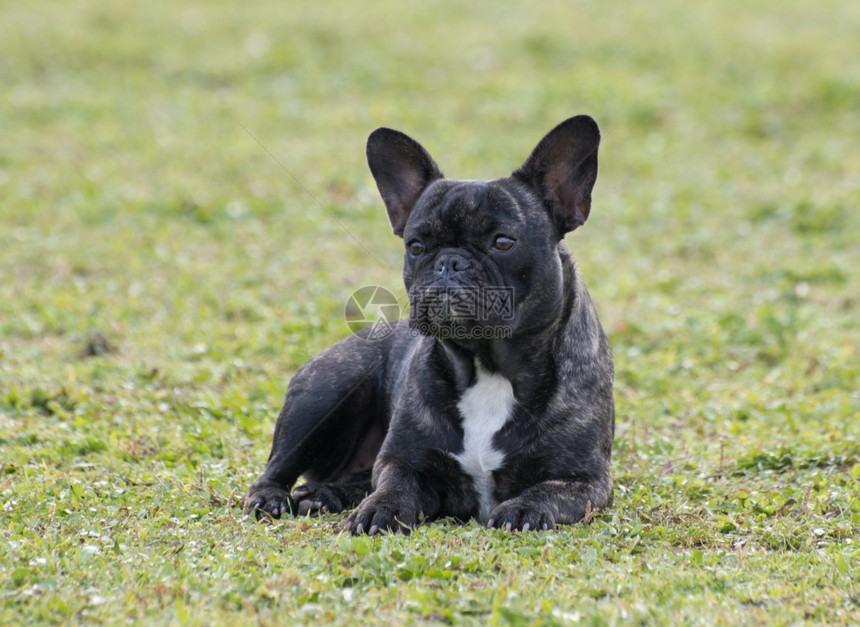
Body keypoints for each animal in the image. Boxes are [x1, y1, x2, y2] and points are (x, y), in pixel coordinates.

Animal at [245, 115, 616, 532]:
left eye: (503, 242)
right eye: (416, 246)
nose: (449, 262)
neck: (486, 366)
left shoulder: (585, 480)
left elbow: (549, 492)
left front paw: (523, 508)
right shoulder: (401, 459)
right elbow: (394, 482)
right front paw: (382, 507)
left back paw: (327, 494)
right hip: (326, 388)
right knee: (280, 465)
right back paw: (272, 497)